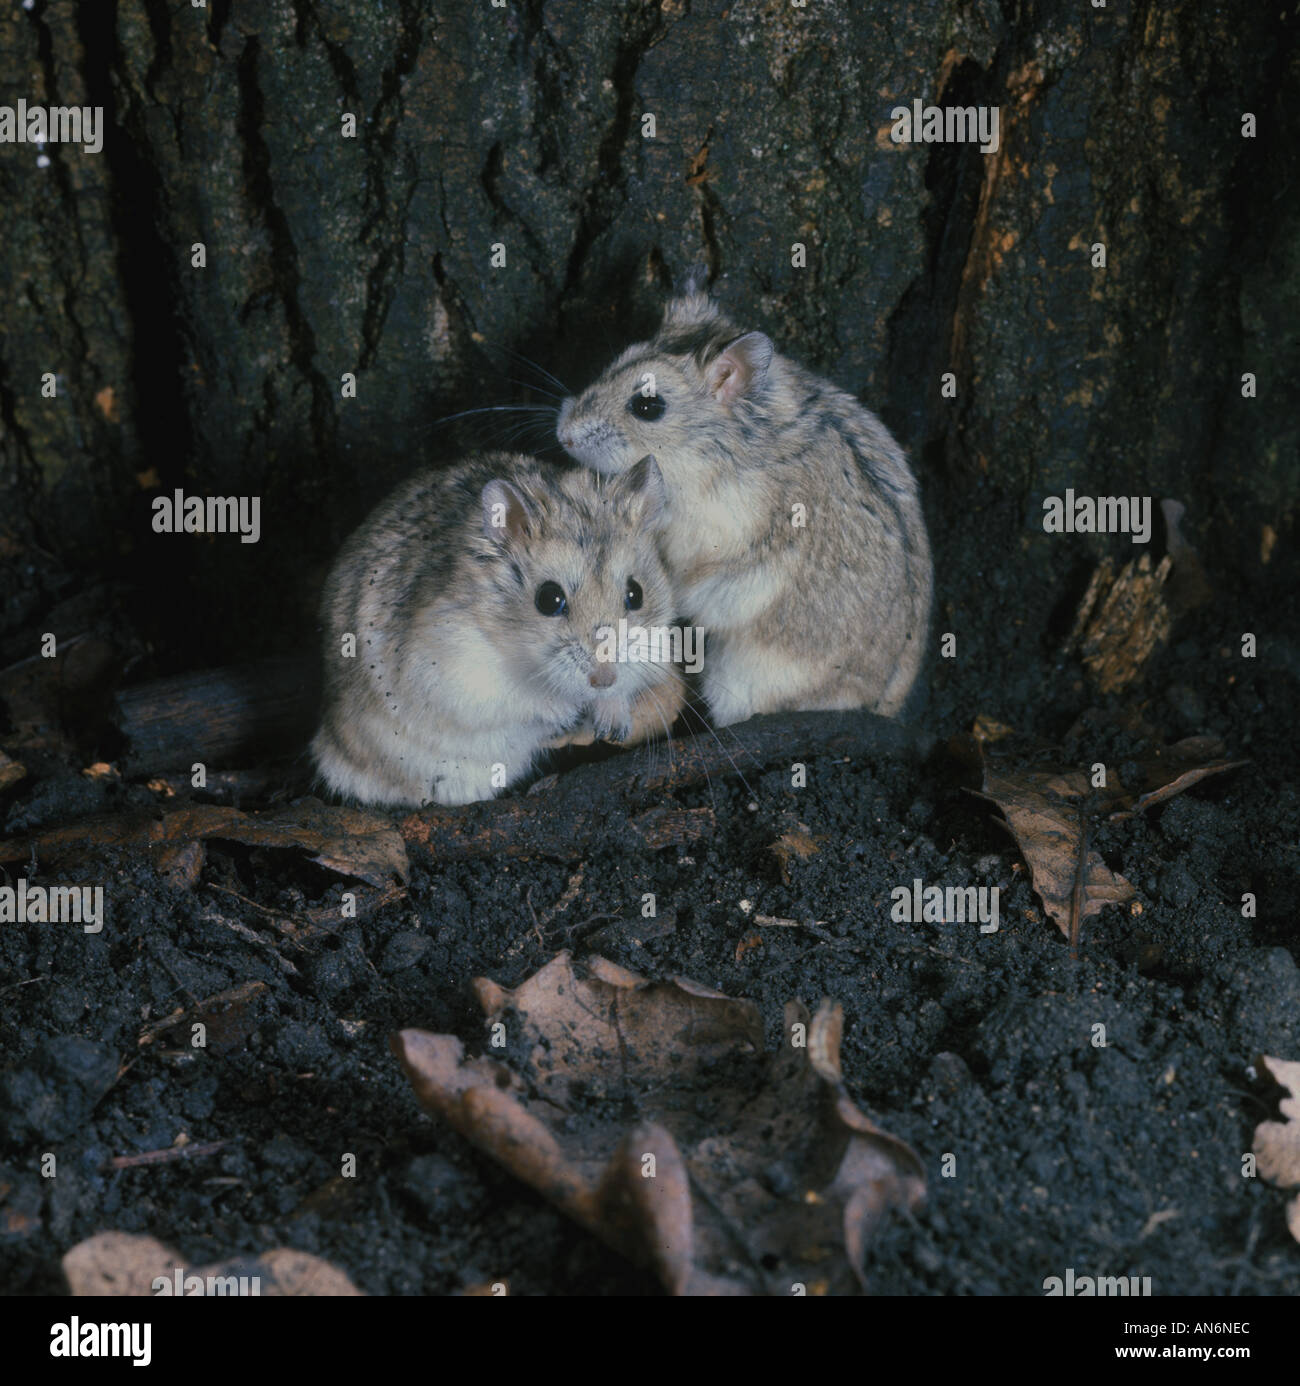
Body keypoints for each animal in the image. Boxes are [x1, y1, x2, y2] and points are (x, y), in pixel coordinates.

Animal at [310, 449, 684, 809]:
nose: (603, 679)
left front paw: (612, 723)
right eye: (549, 599)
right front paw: (565, 713)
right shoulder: (457, 674)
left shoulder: (656, 647)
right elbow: (522, 699)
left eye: (636, 593)